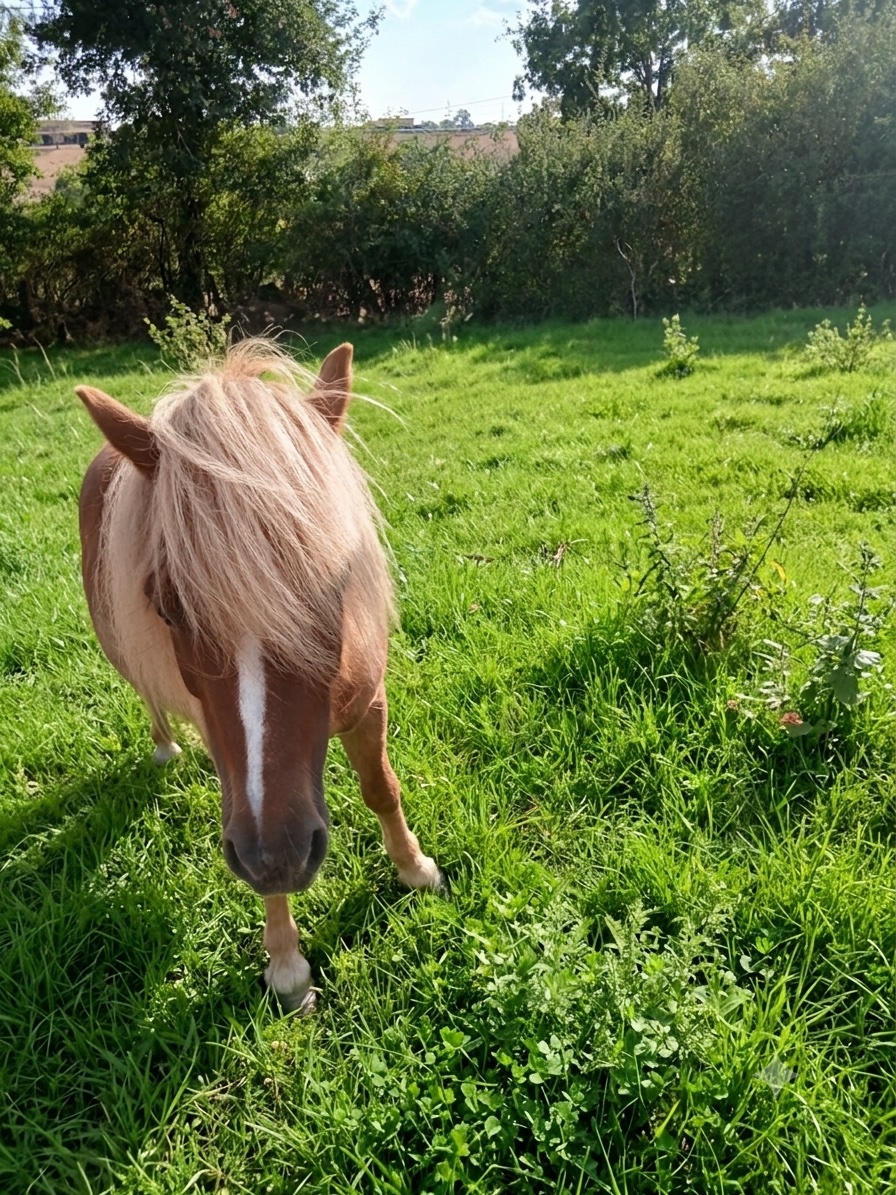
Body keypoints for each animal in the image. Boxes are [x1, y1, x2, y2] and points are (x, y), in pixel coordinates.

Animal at [76, 338, 442, 1012]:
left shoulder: (369, 703)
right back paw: (165, 747)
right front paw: (286, 961)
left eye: (334, 584)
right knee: (148, 695)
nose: (279, 857)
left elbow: (381, 787)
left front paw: (414, 869)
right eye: (168, 608)